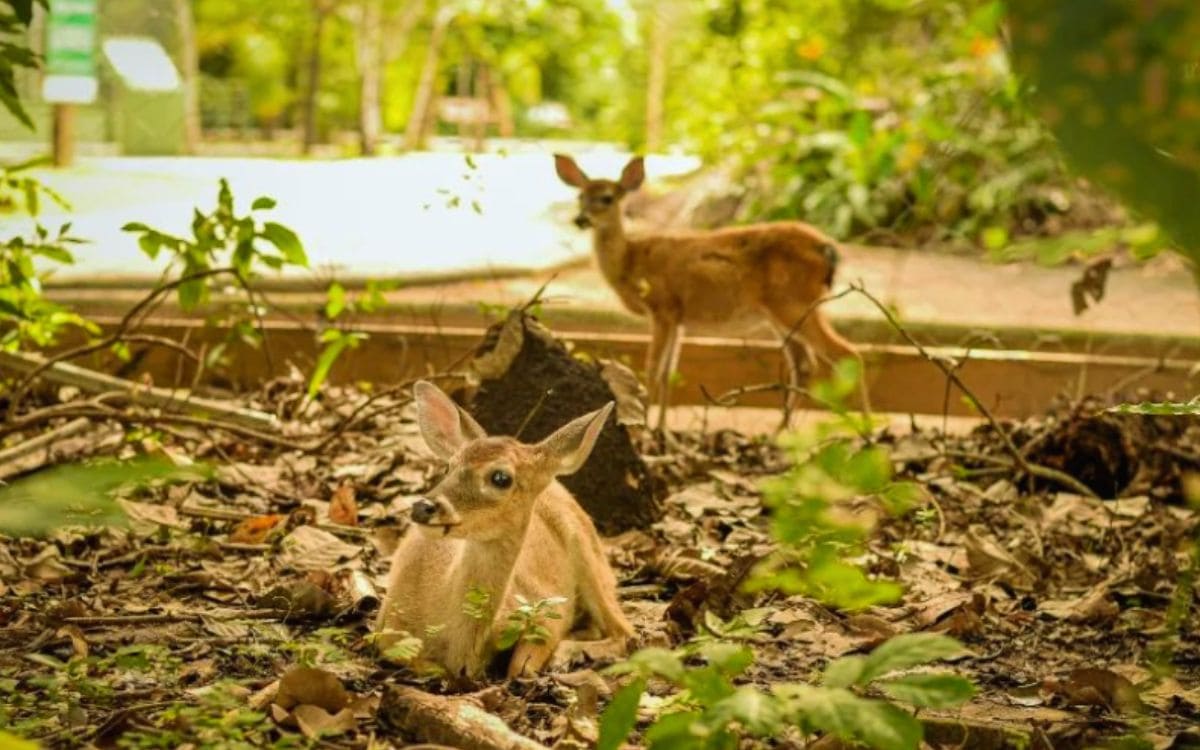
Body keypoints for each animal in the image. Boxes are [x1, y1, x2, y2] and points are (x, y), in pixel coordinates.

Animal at [379, 379, 633, 676]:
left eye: (501, 478)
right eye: (448, 467)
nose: (424, 506)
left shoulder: (546, 611)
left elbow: (521, 667)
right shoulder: (386, 628)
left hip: (588, 552)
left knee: (625, 632)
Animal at [554, 152, 864, 427]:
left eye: (607, 198)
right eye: (579, 197)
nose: (580, 219)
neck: (630, 261)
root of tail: (827, 248)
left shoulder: (663, 306)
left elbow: (653, 369)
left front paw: (645, 434)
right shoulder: (678, 317)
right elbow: (669, 372)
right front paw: (662, 431)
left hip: (794, 301)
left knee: (846, 353)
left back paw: (865, 432)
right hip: (782, 311)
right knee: (804, 364)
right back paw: (782, 434)